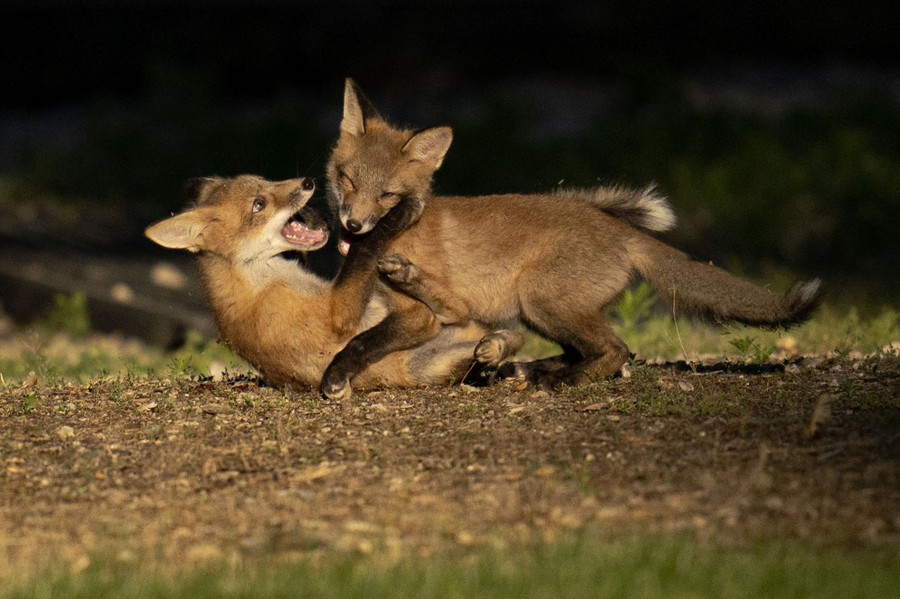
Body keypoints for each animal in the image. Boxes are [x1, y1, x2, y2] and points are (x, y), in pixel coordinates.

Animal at [144, 174, 525, 391]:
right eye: (258, 205)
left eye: (264, 181)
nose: (306, 183)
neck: (258, 286)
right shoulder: (339, 316)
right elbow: (363, 250)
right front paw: (393, 217)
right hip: (424, 365)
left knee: (495, 333)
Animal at [319, 79, 823, 399]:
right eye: (347, 180)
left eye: (387, 195)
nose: (353, 226)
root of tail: (618, 228)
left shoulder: (418, 317)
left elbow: (363, 341)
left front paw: (335, 376)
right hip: (542, 310)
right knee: (596, 351)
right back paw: (523, 367)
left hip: (539, 299)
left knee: (616, 350)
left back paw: (556, 379)